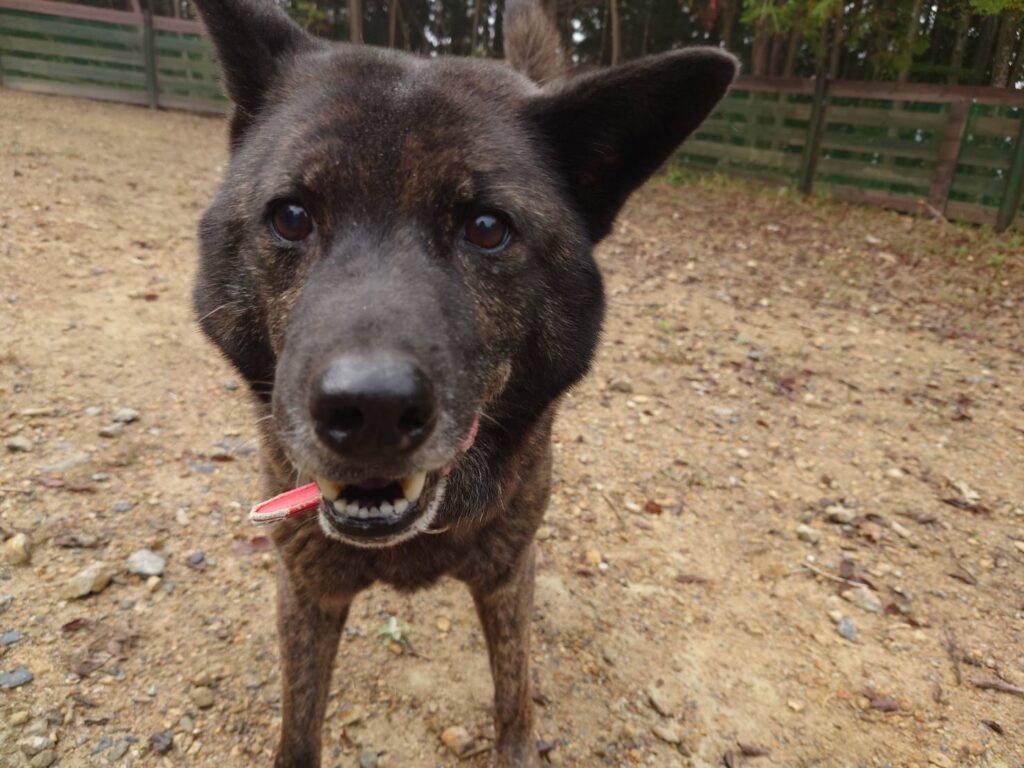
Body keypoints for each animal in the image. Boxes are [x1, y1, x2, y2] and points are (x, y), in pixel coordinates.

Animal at [190, 0, 735, 764]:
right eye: (291, 216)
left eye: (485, 228)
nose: (372, 410)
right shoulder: (306, 591)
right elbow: (298, 730)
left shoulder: (507, 576)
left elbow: (514, 699)